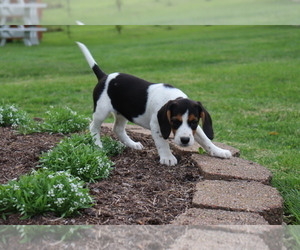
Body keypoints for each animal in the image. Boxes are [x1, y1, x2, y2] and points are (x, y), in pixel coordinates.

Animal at [76, 42, 231, 165]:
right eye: (174, 121)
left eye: (194, 122)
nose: (185, 140)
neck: (173, 97)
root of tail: (104, 76)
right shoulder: (157, 125)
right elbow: (163, 142)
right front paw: (168, 157)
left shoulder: (195, 127)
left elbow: (205, 140)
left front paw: (218, 151)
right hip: (101, 111)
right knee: (93, 127)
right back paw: (98, 145)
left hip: (122, 112)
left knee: (117, 129)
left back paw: (132, 144)